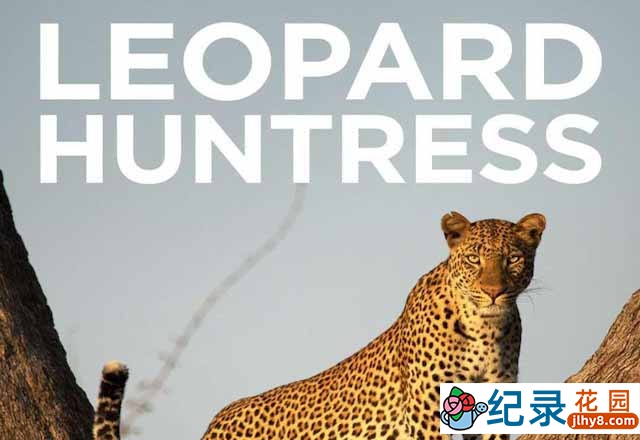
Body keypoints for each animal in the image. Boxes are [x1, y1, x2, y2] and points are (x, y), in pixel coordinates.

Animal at [92, 211, 546, 440]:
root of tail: (215, 423)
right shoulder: (424, 409)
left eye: (513, 259)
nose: (493, 292)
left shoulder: (496, 395)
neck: (483, 327)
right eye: (473, 259)